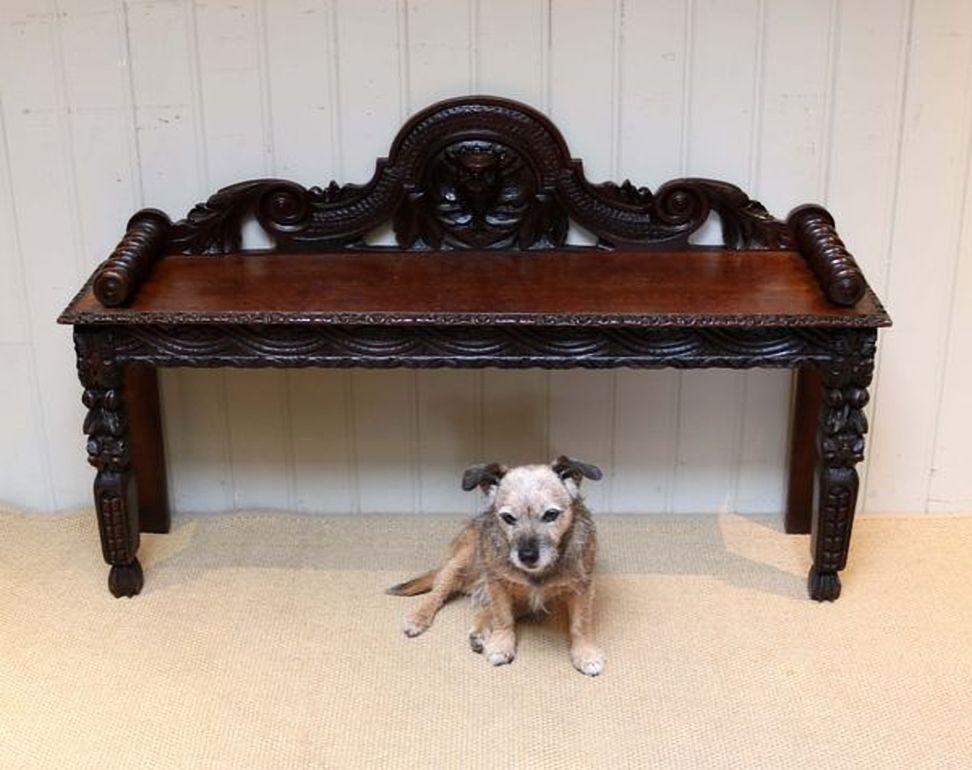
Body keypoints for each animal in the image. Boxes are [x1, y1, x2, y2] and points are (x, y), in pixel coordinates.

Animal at [386, 452, 600, 676]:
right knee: (437, 592)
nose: (527, 556)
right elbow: (503, 618)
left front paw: (585, 654)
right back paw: (419, 617)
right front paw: (501, 645)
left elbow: (580, 624)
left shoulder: (582, 588)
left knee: (489, 607)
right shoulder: (498, 583)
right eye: (508, 517)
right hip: (462, 561)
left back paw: (480, 631)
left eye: (551, 514)